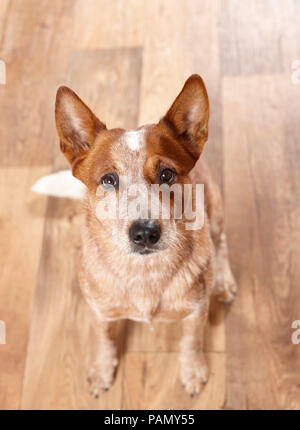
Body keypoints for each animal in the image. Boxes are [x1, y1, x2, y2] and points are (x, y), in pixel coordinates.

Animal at [32, 73, 238, 396]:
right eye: (108, 179)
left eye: (166, 174)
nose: (144, 232)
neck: (144, 273)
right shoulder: (99, 310)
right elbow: (103, 339)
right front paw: (102, 369)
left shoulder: (196, 311)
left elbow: (191, 342)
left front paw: (192, 371)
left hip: (215, 210)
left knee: (222, 243)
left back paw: (224, 281)